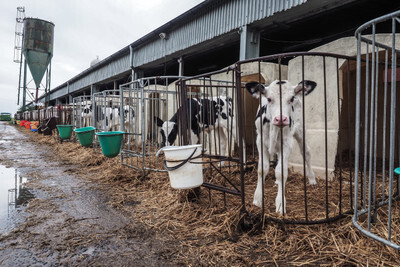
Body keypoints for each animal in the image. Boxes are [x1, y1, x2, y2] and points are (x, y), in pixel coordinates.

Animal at [245, 79, 318, 216]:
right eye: (269, 99)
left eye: (291, 98)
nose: (281, 119)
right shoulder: (260, 141)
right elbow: (262, 169)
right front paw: (257, 198)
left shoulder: (287, 143)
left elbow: (281, 172)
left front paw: (280, 203)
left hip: (301, 131)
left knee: (306, 153)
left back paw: (312, 179)